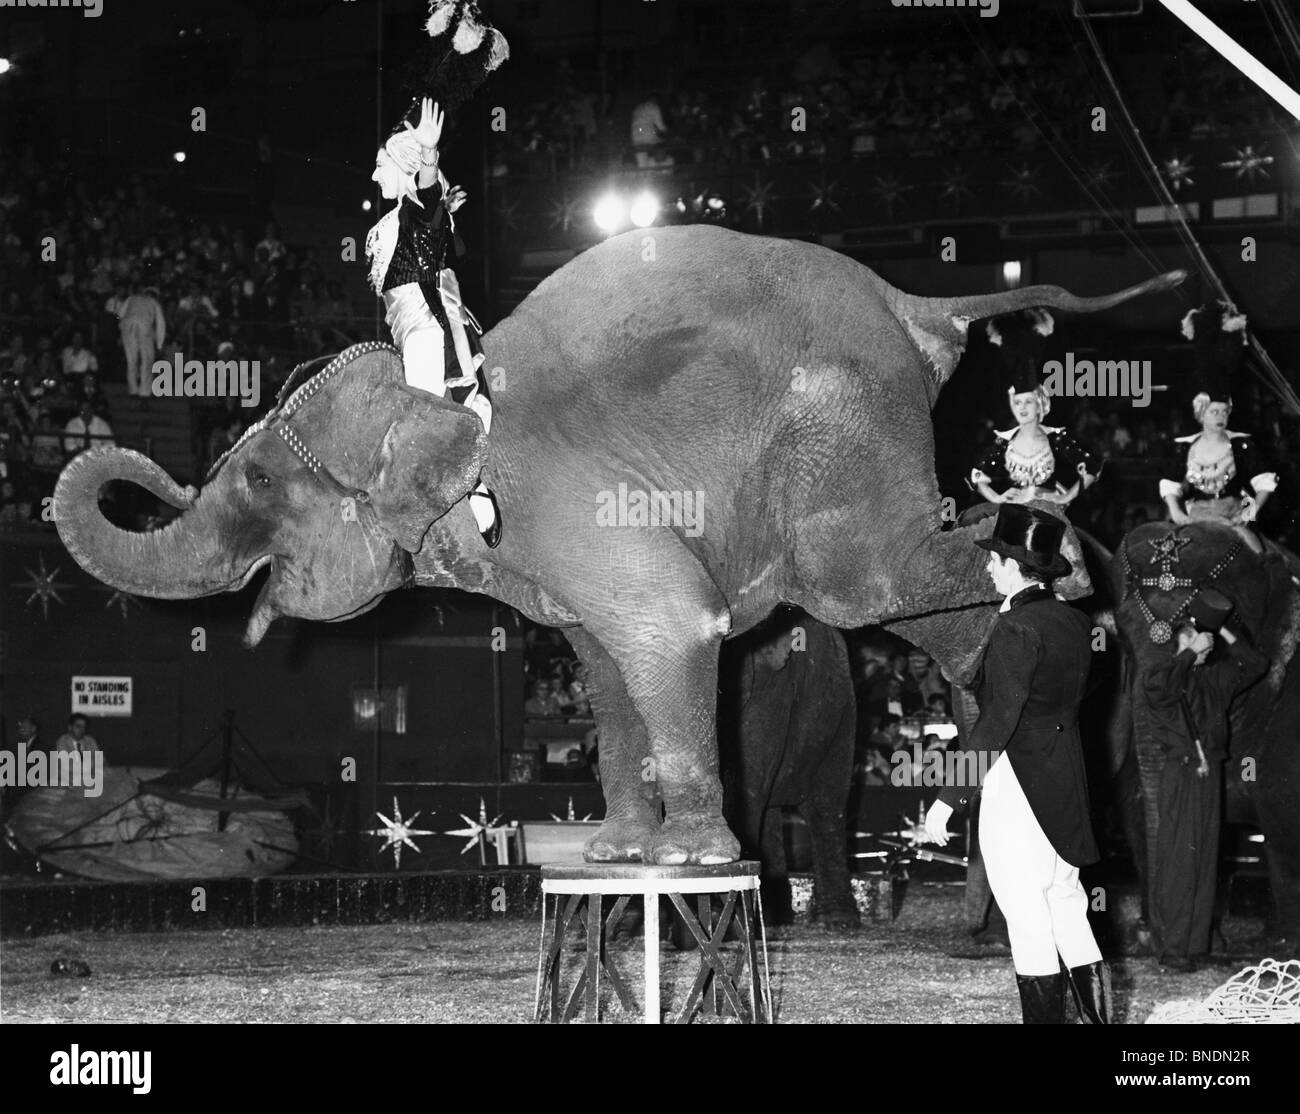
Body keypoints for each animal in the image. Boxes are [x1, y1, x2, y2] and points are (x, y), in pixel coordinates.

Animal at [53, 222, 1190, 868]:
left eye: (253, 480)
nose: (152, 466)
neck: (444, 389)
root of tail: (912, 301)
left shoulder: (572, 503)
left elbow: (669, 628)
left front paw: (691, 863)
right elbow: (606, 672)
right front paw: (615, 851)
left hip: (842, 419)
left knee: (859, 586)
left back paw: (1071, 568)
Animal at [717, 608, 857, 920]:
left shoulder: (771, 687)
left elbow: (748, 788)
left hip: (842, 712)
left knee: (825, 807)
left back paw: (837, 920)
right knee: (771, 811)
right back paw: (776, 914)